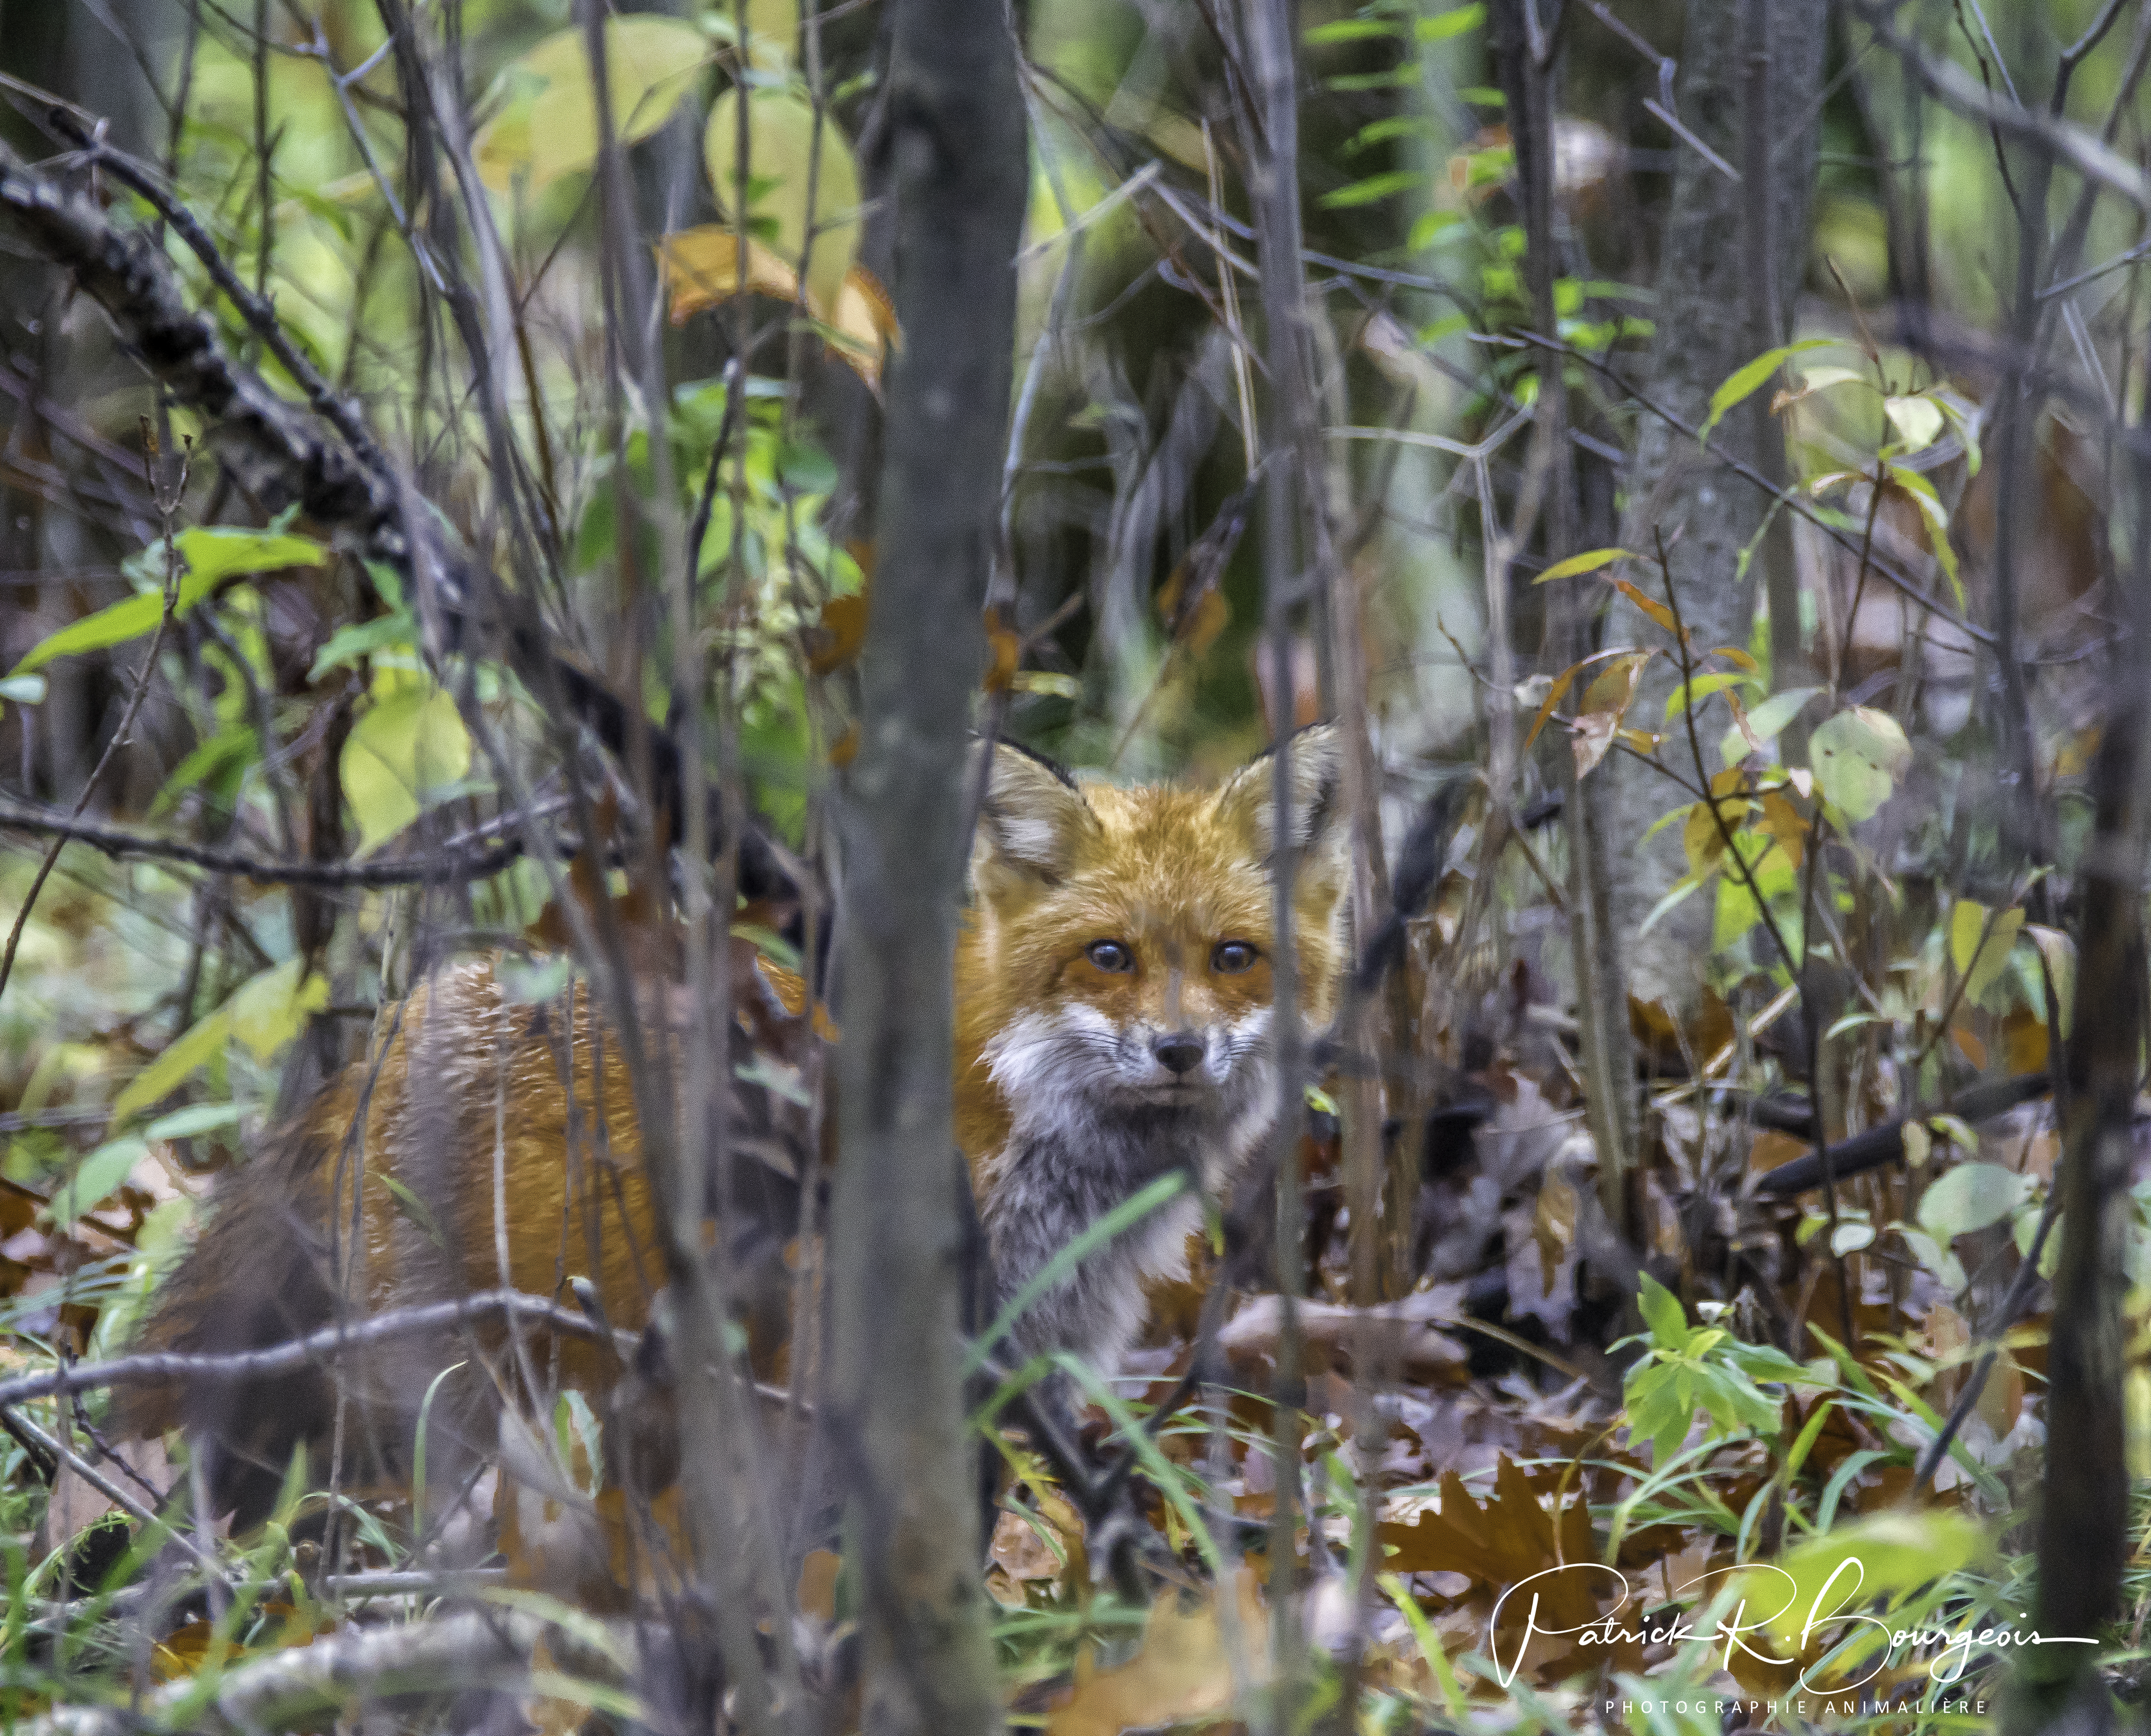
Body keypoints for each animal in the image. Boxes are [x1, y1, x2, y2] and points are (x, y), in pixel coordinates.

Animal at [110, 726, 1348, 1509]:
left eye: (1233, 958)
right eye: (1110, 956)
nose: (1179, 1050)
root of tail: (393, 1025)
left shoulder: (1031, 1369)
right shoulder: (844, 1358)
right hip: (456, 1378)